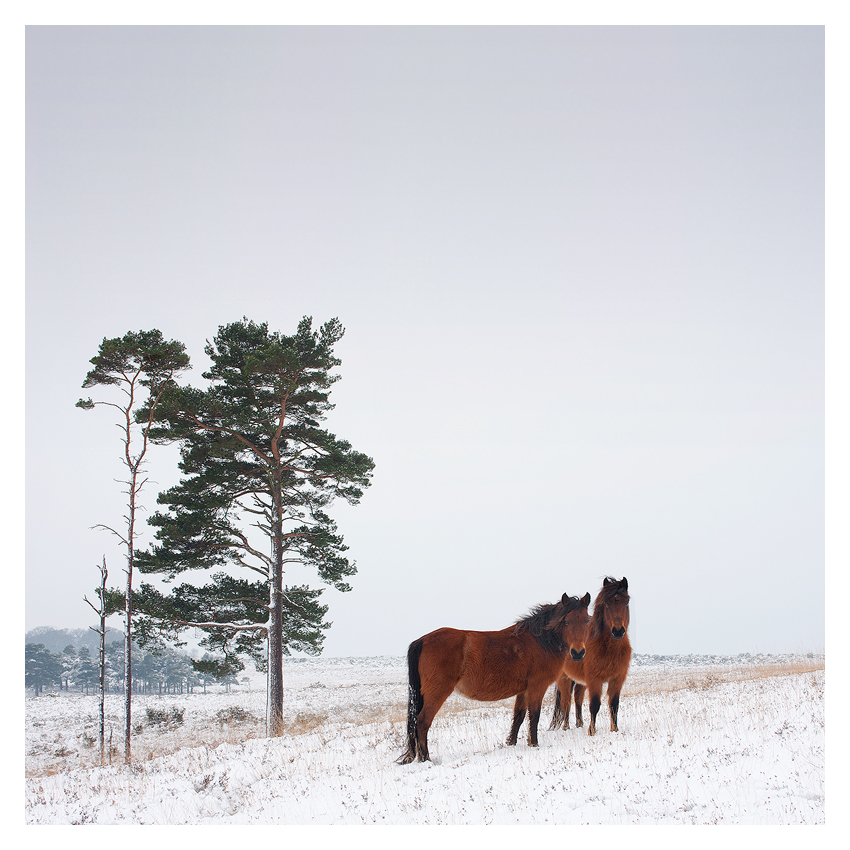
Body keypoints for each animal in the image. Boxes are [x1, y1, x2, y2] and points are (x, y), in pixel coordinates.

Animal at [398, 588, 588, 760]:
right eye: (566, 622)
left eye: (587, 621)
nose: (578, 653)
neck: (540, 641)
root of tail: (422, 640)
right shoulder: (537, 686)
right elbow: (534, 715)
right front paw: (533, 744)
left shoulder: (523, 690)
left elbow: (518, 715)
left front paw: (511, 742)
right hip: (437, 693)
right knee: (422, 722)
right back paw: (426, 759)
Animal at [548, 576, 628, 736]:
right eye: (606, 604)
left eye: (626, 602)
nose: (618, 631)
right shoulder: (594, 680)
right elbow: (595, 705)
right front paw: (592, 732)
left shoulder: (617, 679)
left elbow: (614, 705)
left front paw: (614, 730)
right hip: (565, 679)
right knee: (566, 702)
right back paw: (566, 727)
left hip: (580, 682)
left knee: (577, 699)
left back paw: (580, 724)